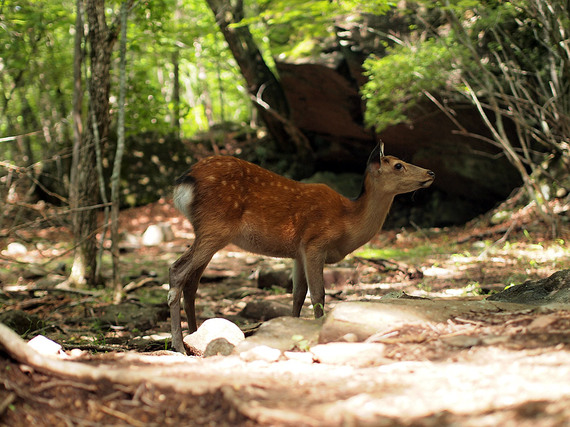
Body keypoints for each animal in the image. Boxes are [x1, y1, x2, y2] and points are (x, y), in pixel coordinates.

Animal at [166, 144, 432, 354]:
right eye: (398, 165)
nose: (431, 172)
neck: (347, 223)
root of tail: (182, 183)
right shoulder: (315, 242)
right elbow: (318, 294)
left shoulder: (297, 253)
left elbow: (297, 294)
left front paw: (290, 330)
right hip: (215, 227)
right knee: (177, 270)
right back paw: (179, 346)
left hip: (209, 232)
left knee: (192, 283)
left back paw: (195, 336)